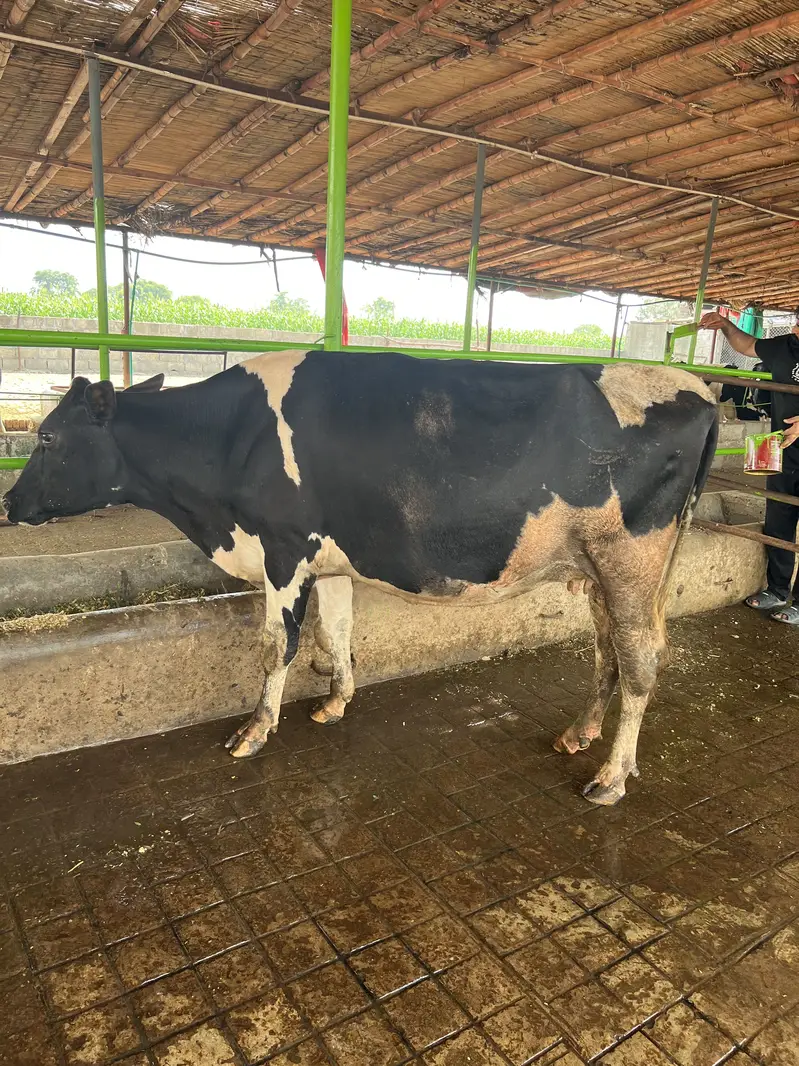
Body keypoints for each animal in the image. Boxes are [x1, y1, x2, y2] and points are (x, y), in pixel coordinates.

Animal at [3, 351, 718, 805]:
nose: (8, 503)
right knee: (606, 652)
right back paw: (578, 735)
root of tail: (700, 389)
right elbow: (336, 631)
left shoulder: (284, 549)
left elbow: (278, 646)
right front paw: (335, 702)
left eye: (46, 437)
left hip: (630, 559)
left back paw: (611, 778)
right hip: (596, 567)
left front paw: (254, 731)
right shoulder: (329, 557)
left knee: (641, 657)